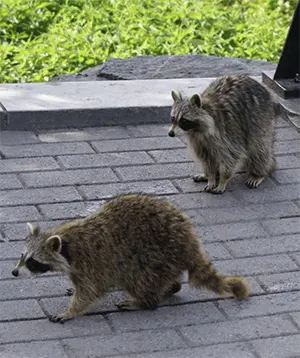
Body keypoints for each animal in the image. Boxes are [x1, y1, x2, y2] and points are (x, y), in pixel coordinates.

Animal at [11, 194, 248, 324]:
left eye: (33, 261)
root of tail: (190, 242)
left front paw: (71, 311)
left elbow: (90, 291)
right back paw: (170, 287)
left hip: (155, 256)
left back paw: (143, 301)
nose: (14, 272)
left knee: (138, 279)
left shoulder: (92, 261)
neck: (67, 242)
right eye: (22, 256)